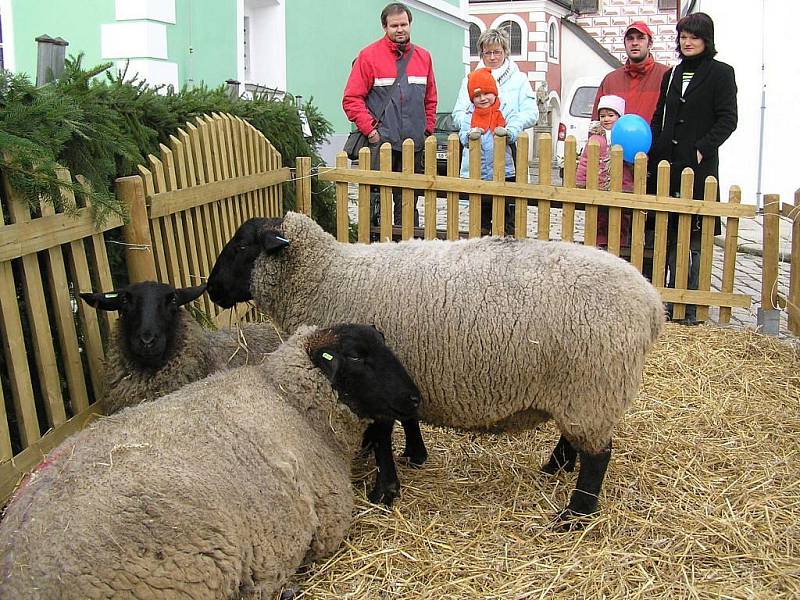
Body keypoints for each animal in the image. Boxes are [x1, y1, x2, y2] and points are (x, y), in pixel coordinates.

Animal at [205, 213, 664, 528]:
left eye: (241, 247)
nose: (211, 290)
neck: (326, 277)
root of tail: (651, 302)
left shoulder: (373, 381)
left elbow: (383, 433)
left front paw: (384, 489)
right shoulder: (398, 374)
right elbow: (407, 417)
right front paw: (414, 454)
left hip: (594, 385)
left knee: (598, 457)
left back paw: (574, 515)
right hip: (578, 390)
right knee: (575, 439)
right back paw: (557, 467)